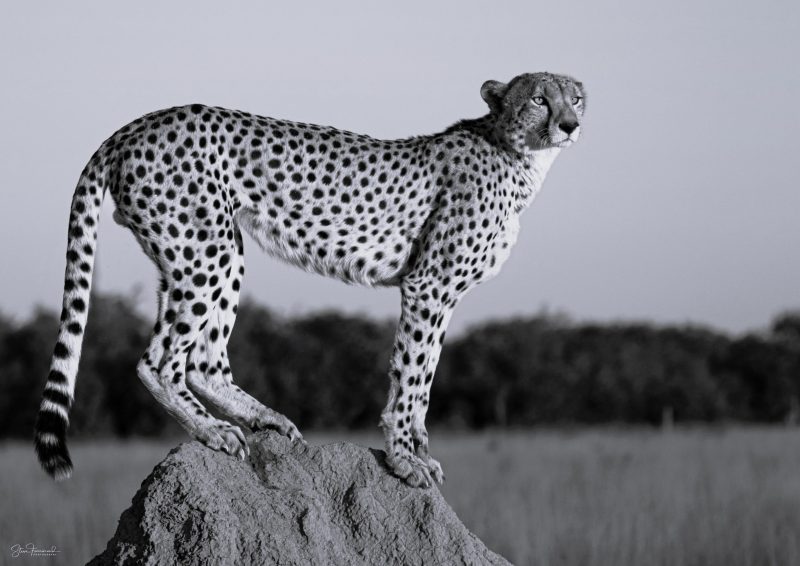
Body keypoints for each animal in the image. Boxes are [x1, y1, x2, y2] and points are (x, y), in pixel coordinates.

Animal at [34, 72, 585, 487]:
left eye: (575, 96)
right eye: (539, 98)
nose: (570, 124)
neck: (518, 154)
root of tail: (136, 124)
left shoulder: (442, 295)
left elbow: (425, 375)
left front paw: (420, 450)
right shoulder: (428, 285)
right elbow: (411, 374)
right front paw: (404, 459)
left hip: (211, 252)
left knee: (204, 361)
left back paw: (264, 419)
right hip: (206, 250)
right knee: (160, 360)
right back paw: (216, 432)